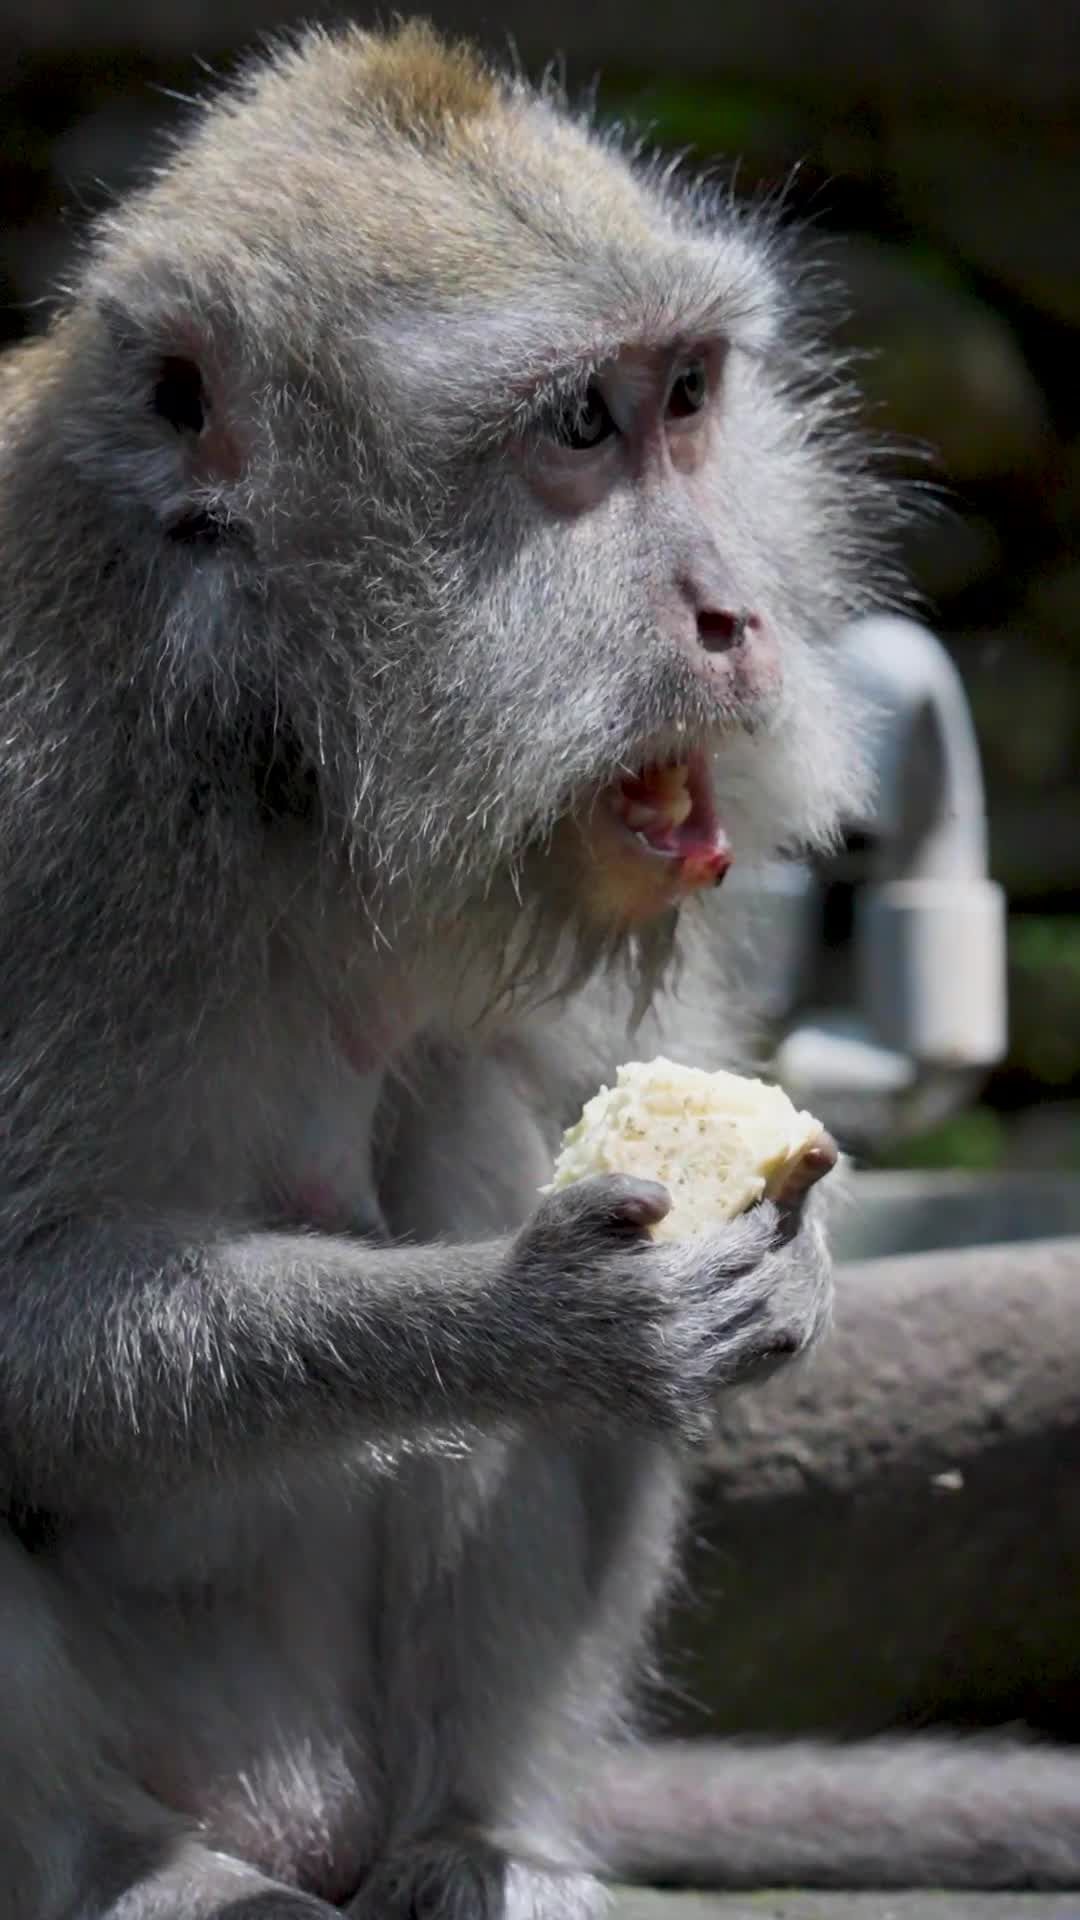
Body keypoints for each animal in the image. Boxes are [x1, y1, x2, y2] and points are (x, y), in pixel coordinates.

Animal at [1, 19, 1077, 1918]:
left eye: (691, 398)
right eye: (580, 423)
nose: (735, 615)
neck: (280, 741)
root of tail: (293, 1803)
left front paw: (784, 1264)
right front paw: (542, 1321)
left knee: (473, 1111)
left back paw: (477, 1837)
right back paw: (137, 1867)